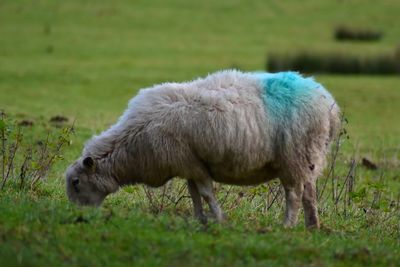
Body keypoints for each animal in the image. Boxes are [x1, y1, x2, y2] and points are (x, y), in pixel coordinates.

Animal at [66, 70, 340, 229]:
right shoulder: (187, 163)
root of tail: (329, 104)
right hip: (309, 157)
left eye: (76, 183)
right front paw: (200, 219)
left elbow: (206, 192)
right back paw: (312, 226)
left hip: (294, 155)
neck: (134, 140)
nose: (78, 216)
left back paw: (287, 226)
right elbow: (194, 193)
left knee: (293, 194)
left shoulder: (192, 163)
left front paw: (218, 219)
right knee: (309, 193)